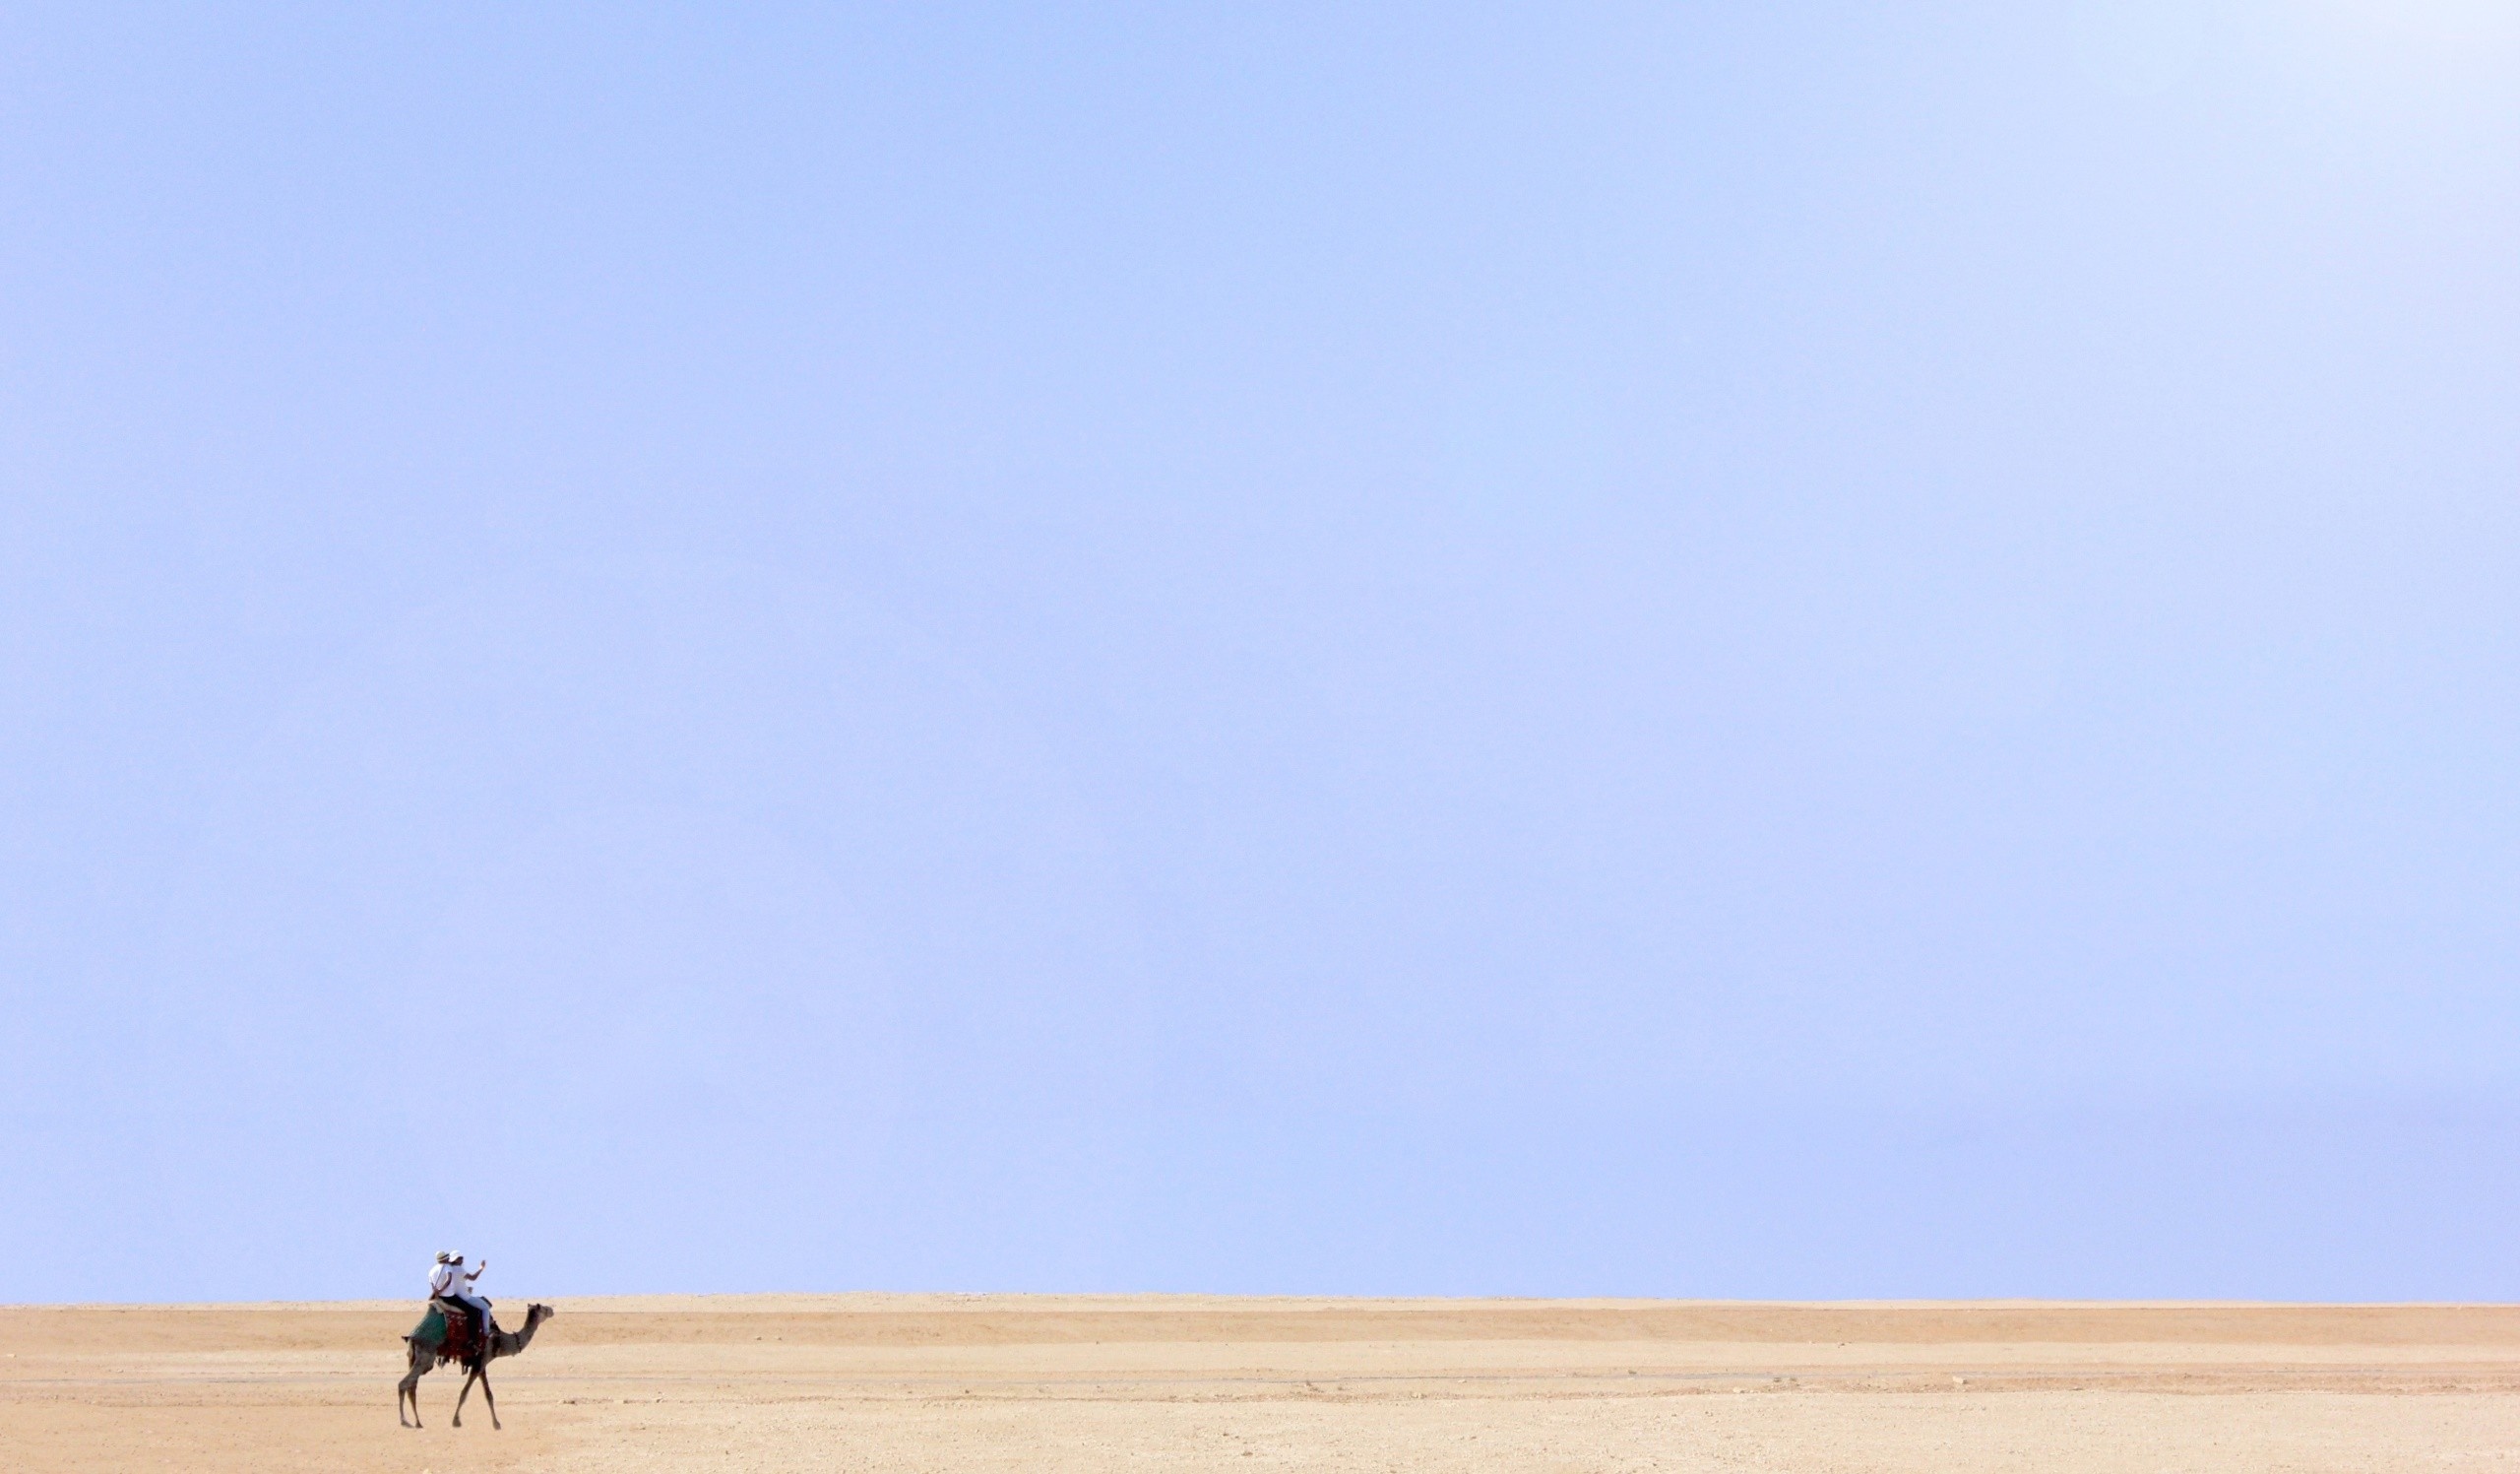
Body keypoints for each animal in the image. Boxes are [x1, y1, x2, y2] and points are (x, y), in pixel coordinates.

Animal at [397, 1302, 554, 1429]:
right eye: (543, 1308)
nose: (552, 1310)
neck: (501, 1340)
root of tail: (412, 1336)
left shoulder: (481, 1363)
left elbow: (488, 1394)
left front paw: (496, 1424)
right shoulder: (480, 1362)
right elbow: (464, 1392)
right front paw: (456, 1421)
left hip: (415, 1357)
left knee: (412, 1387)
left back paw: (418, 1422)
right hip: (426, 1356)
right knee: (404, 1384)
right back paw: (405, 1422)